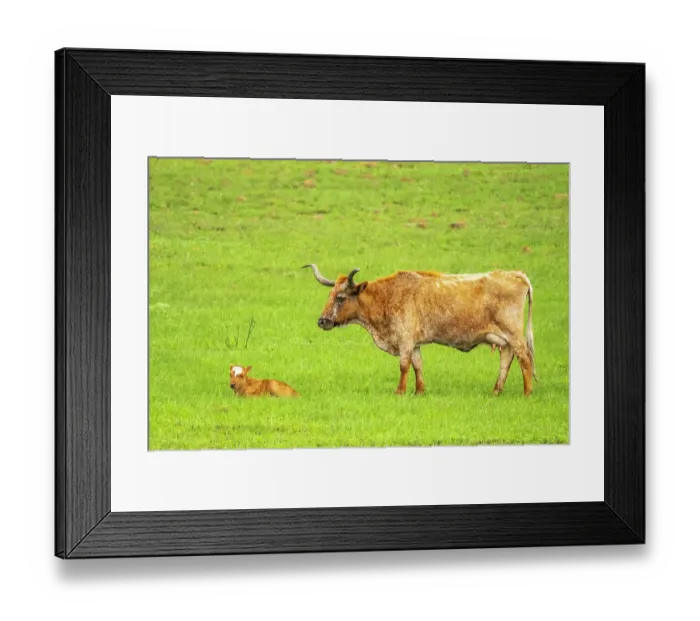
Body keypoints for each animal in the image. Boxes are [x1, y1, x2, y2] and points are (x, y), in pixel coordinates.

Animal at [302, 264, 538, 396]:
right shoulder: (414, 343)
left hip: (514, 335)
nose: (322, 321)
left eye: (340, 298)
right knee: (506, 361)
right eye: (330, 295)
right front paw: (419, 391)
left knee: (525, 358)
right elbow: (417, 365)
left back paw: (527, 393)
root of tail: (517, 274)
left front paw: (400, 391)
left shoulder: (405, 340)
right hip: (504, 340)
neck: (387, 296)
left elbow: (404, 365)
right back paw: (496, 391)